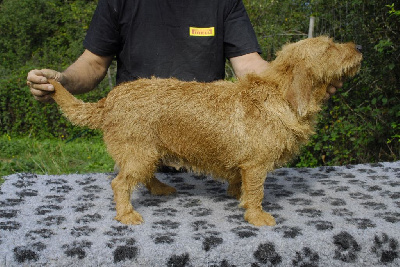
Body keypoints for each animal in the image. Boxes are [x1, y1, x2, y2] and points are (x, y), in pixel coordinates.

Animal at [47, 36, 362, 227]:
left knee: (142, 177)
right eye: (329, 48)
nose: (359, 48)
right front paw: (257, 216)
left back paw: (160, 189)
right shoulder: (256, 165)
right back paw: (127, 214)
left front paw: (237, 196)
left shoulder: (244, 165)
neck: (277, 94)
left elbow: (240, 184)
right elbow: (256, 192)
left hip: (148, 154)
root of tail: (109, 99)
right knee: (120, 183)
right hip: (139, 153)